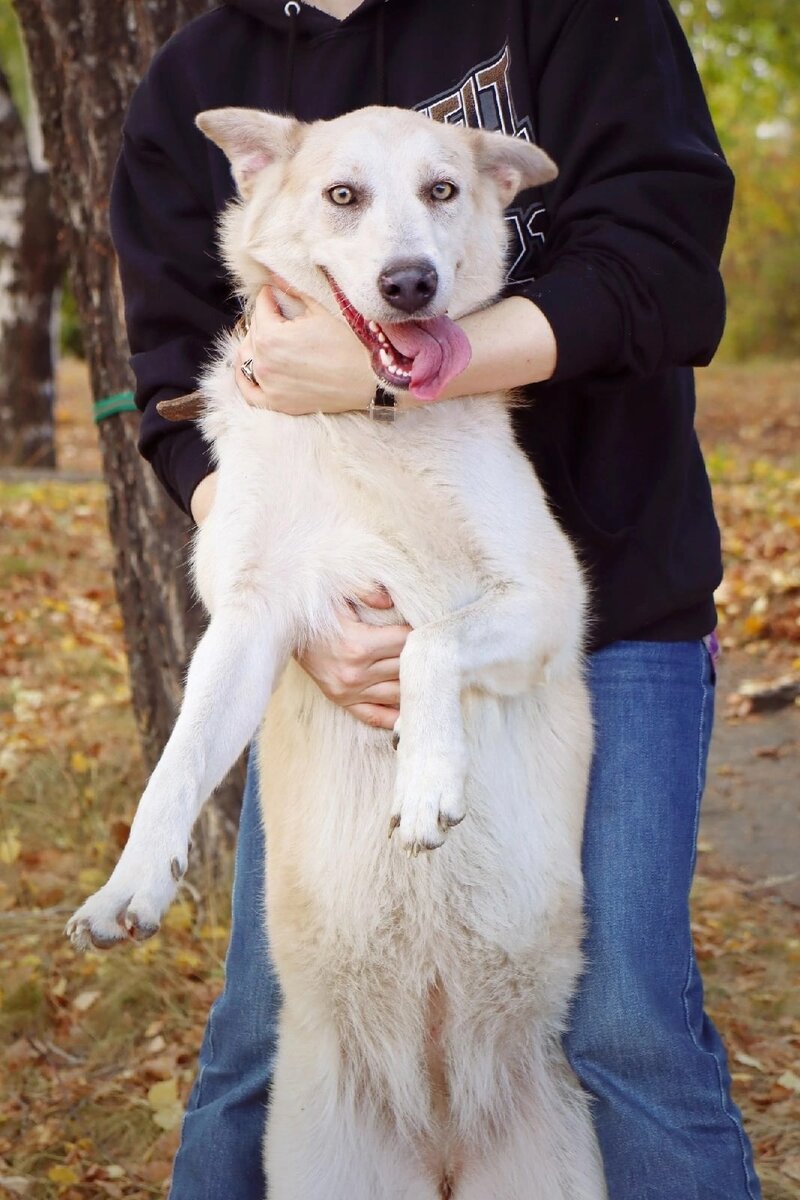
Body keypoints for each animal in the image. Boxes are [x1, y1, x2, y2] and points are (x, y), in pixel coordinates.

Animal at [68, 108, 606, 1195]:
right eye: (343, 196)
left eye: (442, 190)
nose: (410, 285)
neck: (364, 427)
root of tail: (441, 1136)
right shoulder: (247, 622)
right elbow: (177, 762)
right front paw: (131, 884)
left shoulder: (545, 605)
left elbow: (429, 643)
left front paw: (426, 781)